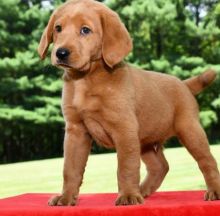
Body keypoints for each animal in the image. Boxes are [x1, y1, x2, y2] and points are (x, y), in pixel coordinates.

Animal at [37, 0, 220, 206]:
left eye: (85, 30)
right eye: (58, 28)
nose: (60, 53)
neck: (85, 79)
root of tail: (183, 83)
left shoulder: (124, 129)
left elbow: (126, 167)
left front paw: (128, 196)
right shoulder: (76, 131)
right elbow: (70, 168)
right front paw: (66, 197)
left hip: (190, 131)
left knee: (207, 161)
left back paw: (214, 190)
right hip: (146, 140)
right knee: (160, 166)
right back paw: (143, 190)